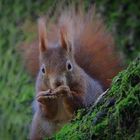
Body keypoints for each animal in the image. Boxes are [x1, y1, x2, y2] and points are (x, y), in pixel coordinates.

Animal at [21, 4, 122, 140]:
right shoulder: (40, 89)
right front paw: (45, 99)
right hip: (38, 130)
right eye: (43, 70)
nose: (57, 83)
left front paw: (66, 92)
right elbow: (48, 114)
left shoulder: (84, 88)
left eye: (69, 66)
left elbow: (79, 104)